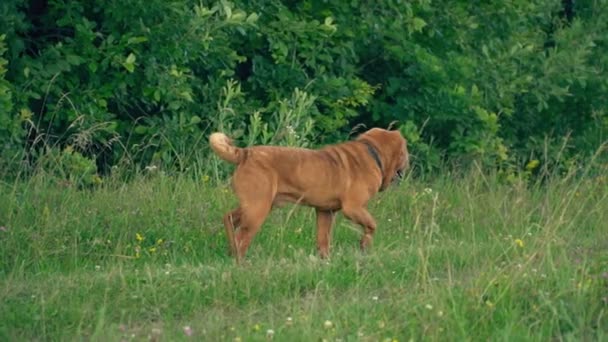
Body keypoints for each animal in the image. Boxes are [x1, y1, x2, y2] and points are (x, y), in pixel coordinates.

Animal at [209, 128, 408, 262]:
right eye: (405, 151)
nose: (409, 160)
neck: (373, 152)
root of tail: (245, 153)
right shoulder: (353, 208)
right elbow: (372, 224)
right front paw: (365, 244)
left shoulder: (325, 212)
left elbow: (323, 240)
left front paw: (325, 261)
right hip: (258, 210)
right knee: (242, 238)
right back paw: (240, 263)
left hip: (256, 205)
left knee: (229, 219)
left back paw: (230, 251)